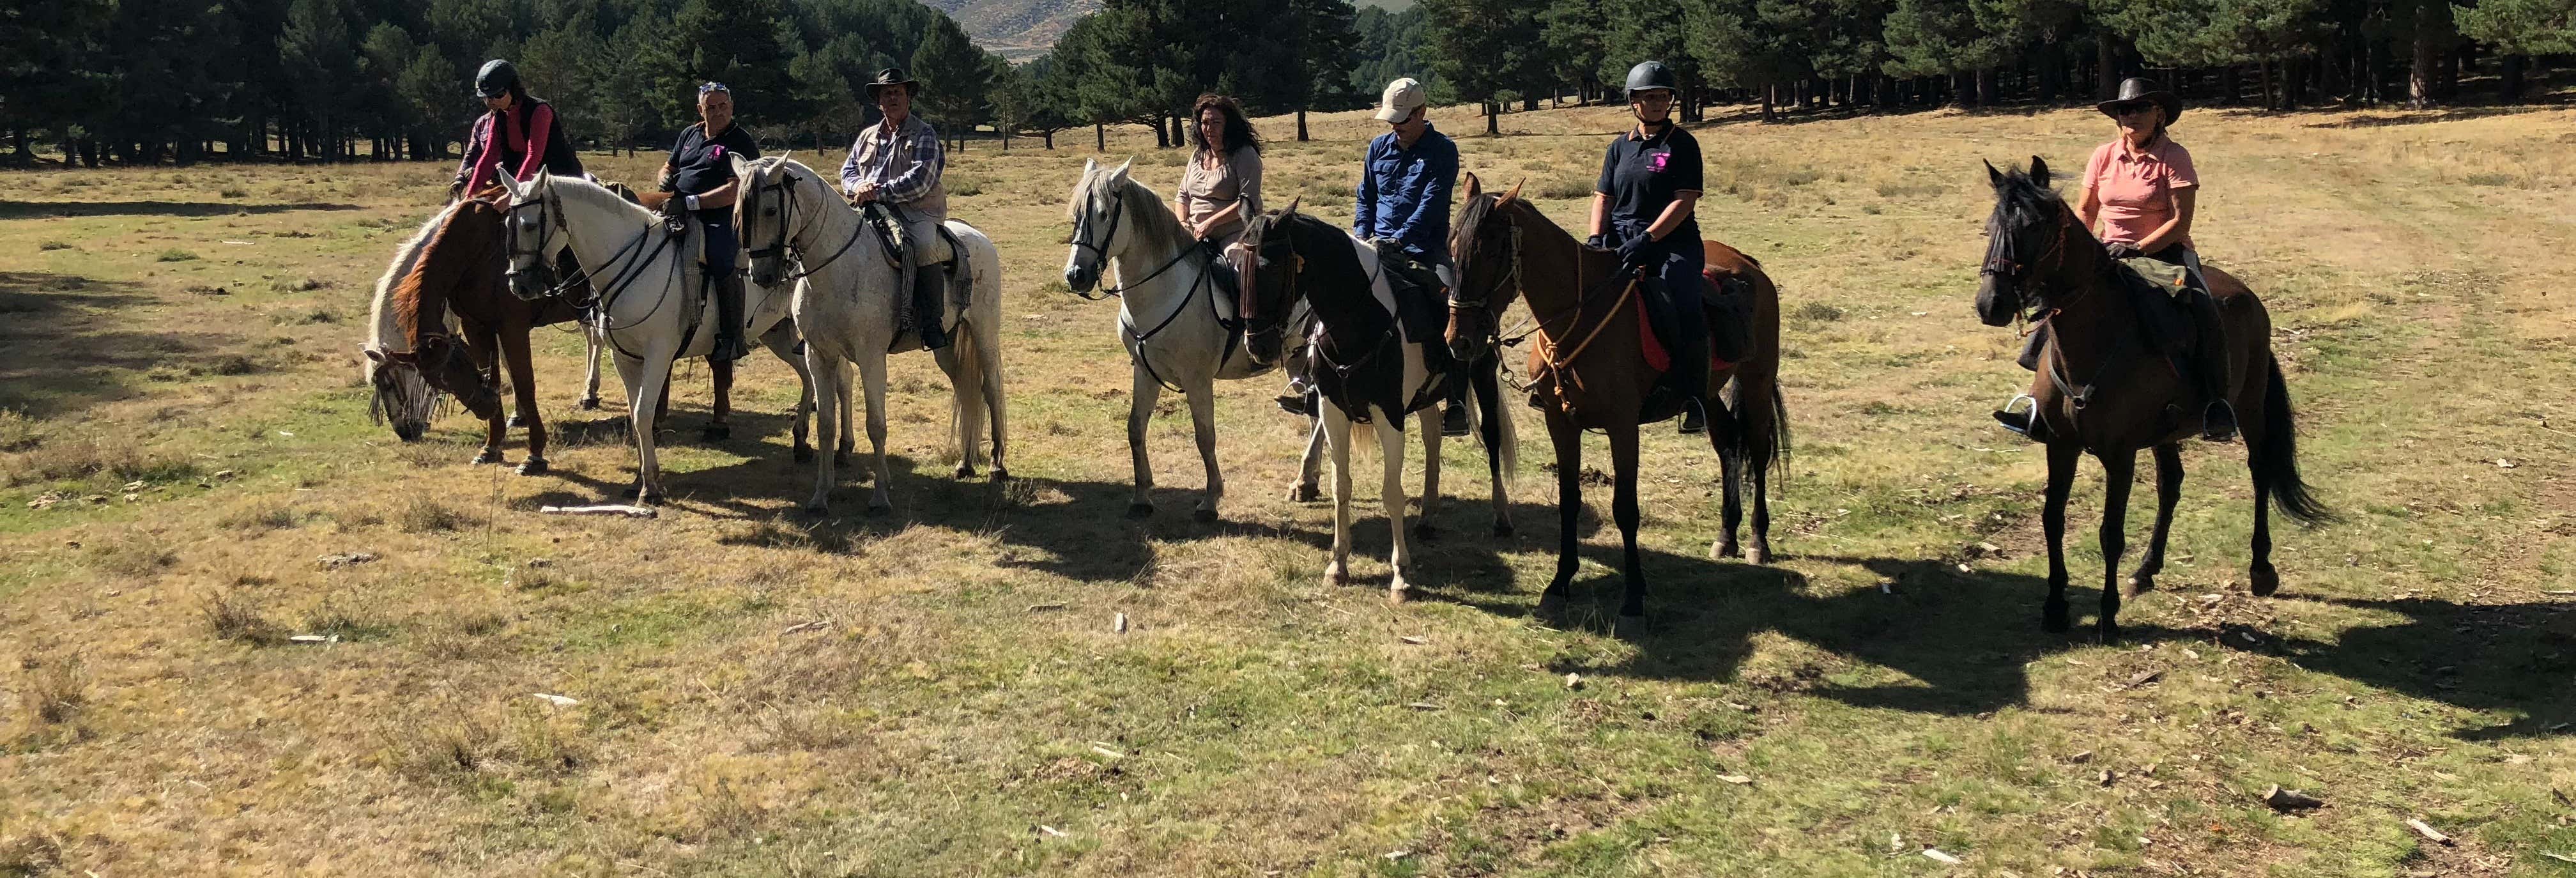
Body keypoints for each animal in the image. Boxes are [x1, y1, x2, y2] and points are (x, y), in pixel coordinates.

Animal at [489, 171, 793, 499]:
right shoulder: (625, 358)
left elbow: (643, 413)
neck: (632, 265)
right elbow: (636, 418)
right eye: (506, 226)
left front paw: (650, 487)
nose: (520, 286)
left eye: (530, 225)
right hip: (781, 335)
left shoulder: (659, 356)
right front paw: (640, 479)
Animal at [732, 153, 1009, 512]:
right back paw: (965, 463)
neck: (837, 268)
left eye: (769, 210)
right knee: (966, 387)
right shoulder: (818, 356)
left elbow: (876, 425)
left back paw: (997, 465)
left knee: (992, 389)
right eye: (739, 213)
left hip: (985, 333)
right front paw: (821, 495)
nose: (762, 275)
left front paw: (880, 497)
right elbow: (825, 425)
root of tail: (977, 236)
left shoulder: (871, 358)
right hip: (946, 346)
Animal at [1056, 157, 1319, 520]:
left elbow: (1204, 436)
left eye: (1104, 214)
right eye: (1077, 215)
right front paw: (1142, 497)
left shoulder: (1197, 380)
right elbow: (1136, 428)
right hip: (1297, 363)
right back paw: (1307, 484)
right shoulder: (1145, 372)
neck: (1163, 291)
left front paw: (1210, 501)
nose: (1076, 276)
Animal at [1453, 173, 1793, 633]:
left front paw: (1633, 599)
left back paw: (1758, 540)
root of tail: (1748, 264)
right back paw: (1726, 535)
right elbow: (1569, 501)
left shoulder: (1623, 426)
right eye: (1452, 247)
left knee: (1756, 450)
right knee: (1727, 444)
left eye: (1489, 252)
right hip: (1707, 394)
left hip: (1756, 380)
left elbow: (1625, 509)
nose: (1459, 340)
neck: (1580, 318)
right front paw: (1559, 584)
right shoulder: (1560, 423)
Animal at [1968, 155, 2339, 636]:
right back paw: (2146, 570)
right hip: (2167, 432)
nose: (1990, 304)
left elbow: (2111, 533)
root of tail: (2247, 296)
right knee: (2171, 485)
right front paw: (2054, 607)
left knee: (2259, 472)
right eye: (1991, 226)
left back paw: (2261, 569)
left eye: (2035, 227)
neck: (2096, 339)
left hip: (2250, 409)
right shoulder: (2060, 445)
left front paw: (2107, 615)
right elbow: (2053, 521)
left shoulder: (2120, 454)